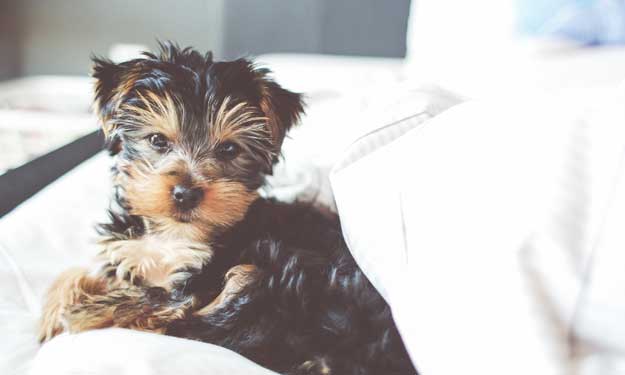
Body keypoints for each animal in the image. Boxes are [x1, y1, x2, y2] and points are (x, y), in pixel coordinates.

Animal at [40, 42, 420, 374]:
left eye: (228, 150)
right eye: (158, 141)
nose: (185, 193)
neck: (174, 235)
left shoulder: (207, 271)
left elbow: (162, 296)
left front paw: (84, 312)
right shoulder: (129, 249)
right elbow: (88, 270)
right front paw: (56, 309)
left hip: (281, 275)